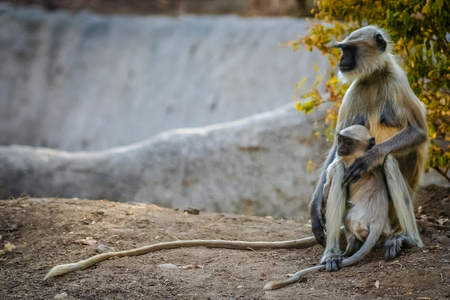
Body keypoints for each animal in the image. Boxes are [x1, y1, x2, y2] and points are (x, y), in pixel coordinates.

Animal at [266, 125, 392, 290]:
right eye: (341, 139)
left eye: (348, 142)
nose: (340, 147)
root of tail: (377, 221)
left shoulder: (338, 164)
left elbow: (327, 189)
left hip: (354, 220)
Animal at [310, 25, 428, 270]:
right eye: (343, 50)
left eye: (349, 50)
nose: (342, 60)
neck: (375, 77)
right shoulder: (354, 90)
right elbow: (335, 152)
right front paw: (315, 209)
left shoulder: (398, 82)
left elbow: (419, 131)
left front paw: (369, 158)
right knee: (340, 169)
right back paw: (334, 253)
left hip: (393, 212)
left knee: (389, 161)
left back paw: (409, 239)